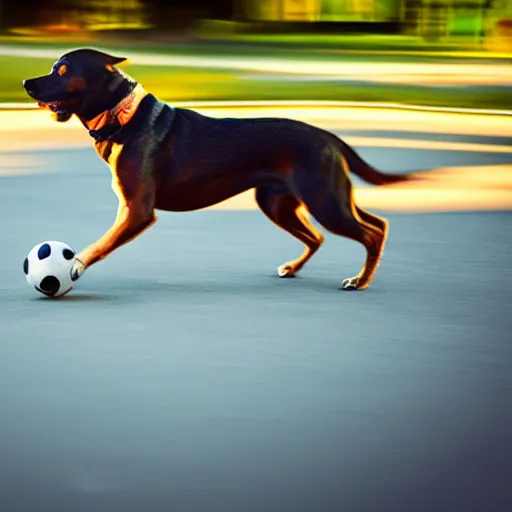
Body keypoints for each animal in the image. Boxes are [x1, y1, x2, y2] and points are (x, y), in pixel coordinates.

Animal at [24, 49, 414, 292]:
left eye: (63, 70)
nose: (27, 83)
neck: (122, 115)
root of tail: (328, 136)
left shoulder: (137, 211)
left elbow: (100, 244)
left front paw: (75, 265)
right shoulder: (131, 210)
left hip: (323, 200)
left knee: (370, 232)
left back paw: (359, 281)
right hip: (289, 201)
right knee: (350, 229)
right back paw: (295, 268)